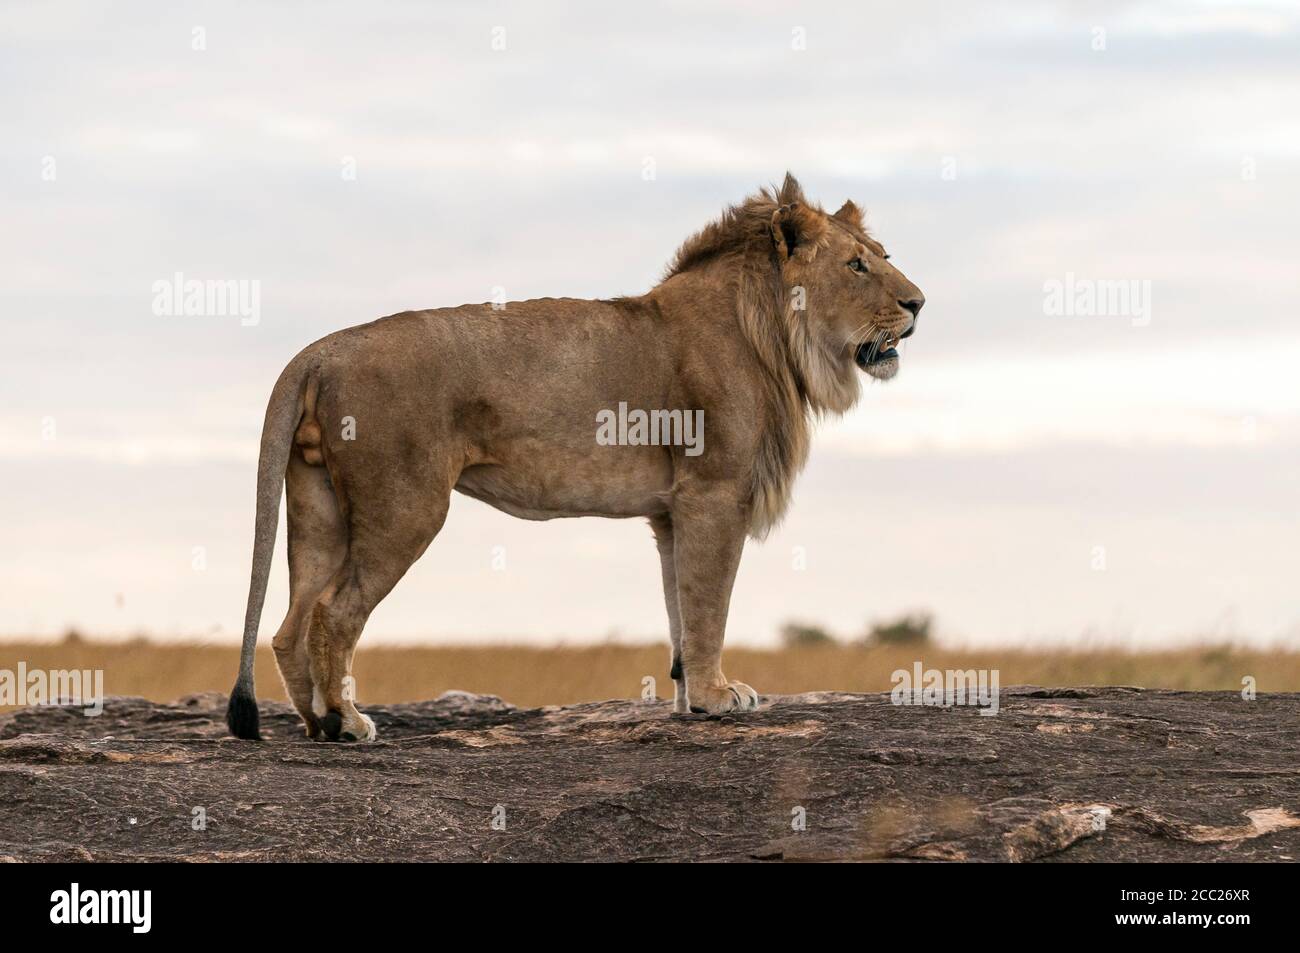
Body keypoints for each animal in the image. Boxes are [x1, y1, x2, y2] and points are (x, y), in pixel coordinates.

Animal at [226, 173, 924, 741]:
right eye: (857, 266)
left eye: (885, 258)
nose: (918, 303)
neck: (775, 335)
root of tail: (320, 349)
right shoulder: (714, 491)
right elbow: (710, 604)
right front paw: (718, 697)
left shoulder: (671, 512)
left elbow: (680, 606)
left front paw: (687, 700)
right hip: (404, 508)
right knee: (333, 612)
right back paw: (347, 723)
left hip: (317, 503)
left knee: (290, 622)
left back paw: (315, 724)